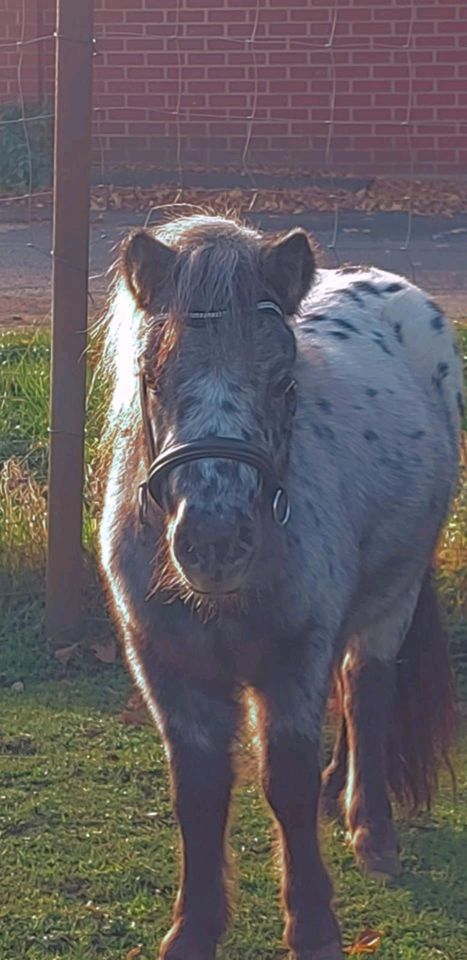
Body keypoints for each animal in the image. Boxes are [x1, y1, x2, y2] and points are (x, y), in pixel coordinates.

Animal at [99, 214, 464, 956]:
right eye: (153, 379)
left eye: (283, 383)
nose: (214, 537)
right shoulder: (168, 668)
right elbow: (198, 789)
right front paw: (193, 928)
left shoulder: (294, 657)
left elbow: (285, 783)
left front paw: (314, 924)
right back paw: (340, 791)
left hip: (394, 593)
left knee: (366, 687)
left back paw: (369, 828)